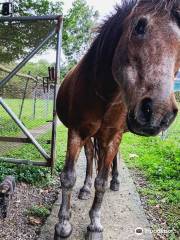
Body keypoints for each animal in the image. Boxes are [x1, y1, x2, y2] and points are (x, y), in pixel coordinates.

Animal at [55, 0, 179, 238]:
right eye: (139, 26)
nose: (157, 113)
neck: (103, 93)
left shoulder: (112, 136)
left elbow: (102, 182)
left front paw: (95, 224)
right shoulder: (76, 132)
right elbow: (68, 177)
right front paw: (63, 224)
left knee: (111, 160)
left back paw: (116, 181)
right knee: (91, 157)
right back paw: (85, 188)